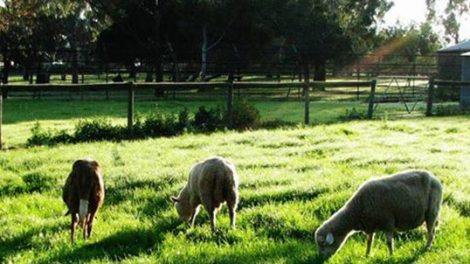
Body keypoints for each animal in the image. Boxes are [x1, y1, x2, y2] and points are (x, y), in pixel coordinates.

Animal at [314, 170, 442, 258]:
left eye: (323, 244)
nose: (320, 258)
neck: (356, 210)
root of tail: (435, 178)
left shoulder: (388, 222)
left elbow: (389, 242)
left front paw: (391, 255)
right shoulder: (370, 225)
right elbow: (369, 241)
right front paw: (367, 255)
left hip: (432, 211)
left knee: (431, 233)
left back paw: (427, 248)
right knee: (433, 231)